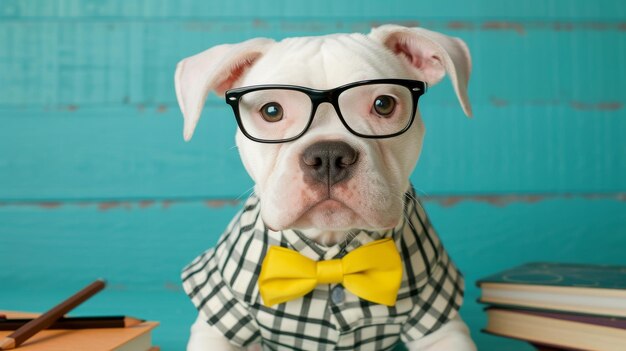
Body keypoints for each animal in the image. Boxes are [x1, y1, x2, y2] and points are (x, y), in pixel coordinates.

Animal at [174, 25, 472, 351]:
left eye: (384, 104)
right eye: (271, 111)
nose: (328, 155)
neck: (329, 247)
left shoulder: (439, 315)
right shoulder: (220, 311)